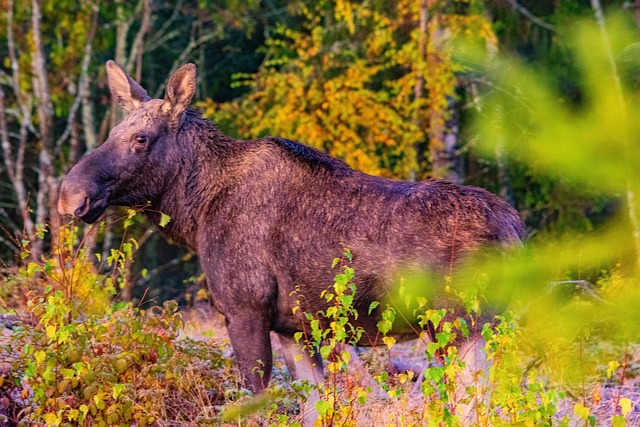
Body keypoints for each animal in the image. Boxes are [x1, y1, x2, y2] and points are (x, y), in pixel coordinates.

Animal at [58, 60, 524, 424]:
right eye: (112, 132)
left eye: (141, 138)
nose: (70, 195)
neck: (196, 210)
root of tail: (517, 234)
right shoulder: (293, 328)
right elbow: (313, 407)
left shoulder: (244, 309)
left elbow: (254, 403)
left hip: (459, 326)